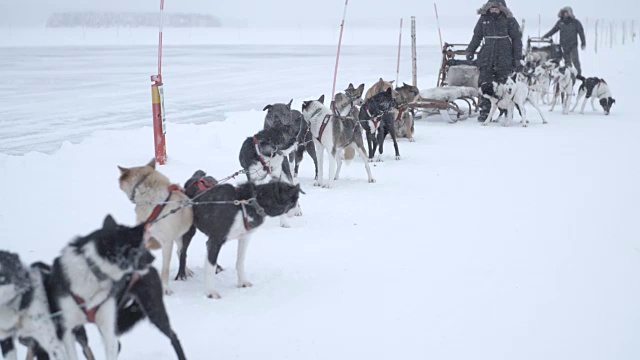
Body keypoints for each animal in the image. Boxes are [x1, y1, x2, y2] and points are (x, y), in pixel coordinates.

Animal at [117, 160, 192, 296]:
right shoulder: (145, 237)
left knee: (180, 252)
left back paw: (185, 270)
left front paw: (165, 288)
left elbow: (165, 269)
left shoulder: (167, 242)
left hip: (180, 237)